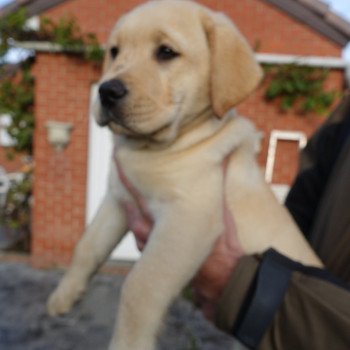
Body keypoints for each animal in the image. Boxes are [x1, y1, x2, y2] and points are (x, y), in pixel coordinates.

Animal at [47, 0, 322, 348]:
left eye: (166, 52)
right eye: (114, 51)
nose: (106, 91)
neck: (154, 150)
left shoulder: (187, 220)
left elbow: (140, 286)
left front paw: (127, 343)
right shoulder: (119, 200)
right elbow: (87, 245)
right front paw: (64, 295)